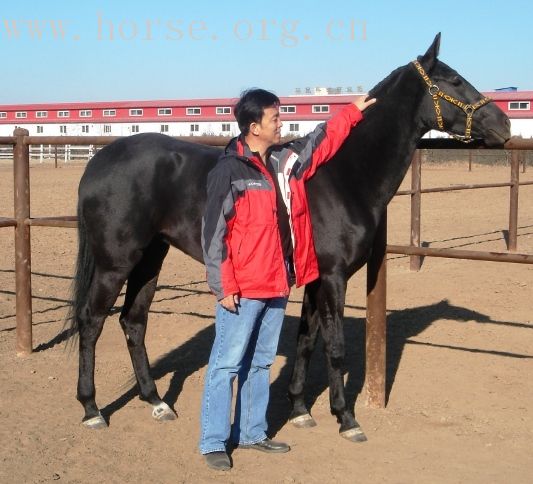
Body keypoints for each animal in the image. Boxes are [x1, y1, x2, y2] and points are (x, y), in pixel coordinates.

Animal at [68, 34, 510, 434]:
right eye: (454, 80)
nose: (504, 123)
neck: (341, 175)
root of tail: (99, 160)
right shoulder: (332, 277)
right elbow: (335, 347)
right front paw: (345, 418)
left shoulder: (316, 277)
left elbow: (307, 340)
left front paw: (299, 408)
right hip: (115, 262)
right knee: (91, 322)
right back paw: (91, 409)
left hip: (150, 257)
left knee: (133, 321)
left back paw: (156, 401)